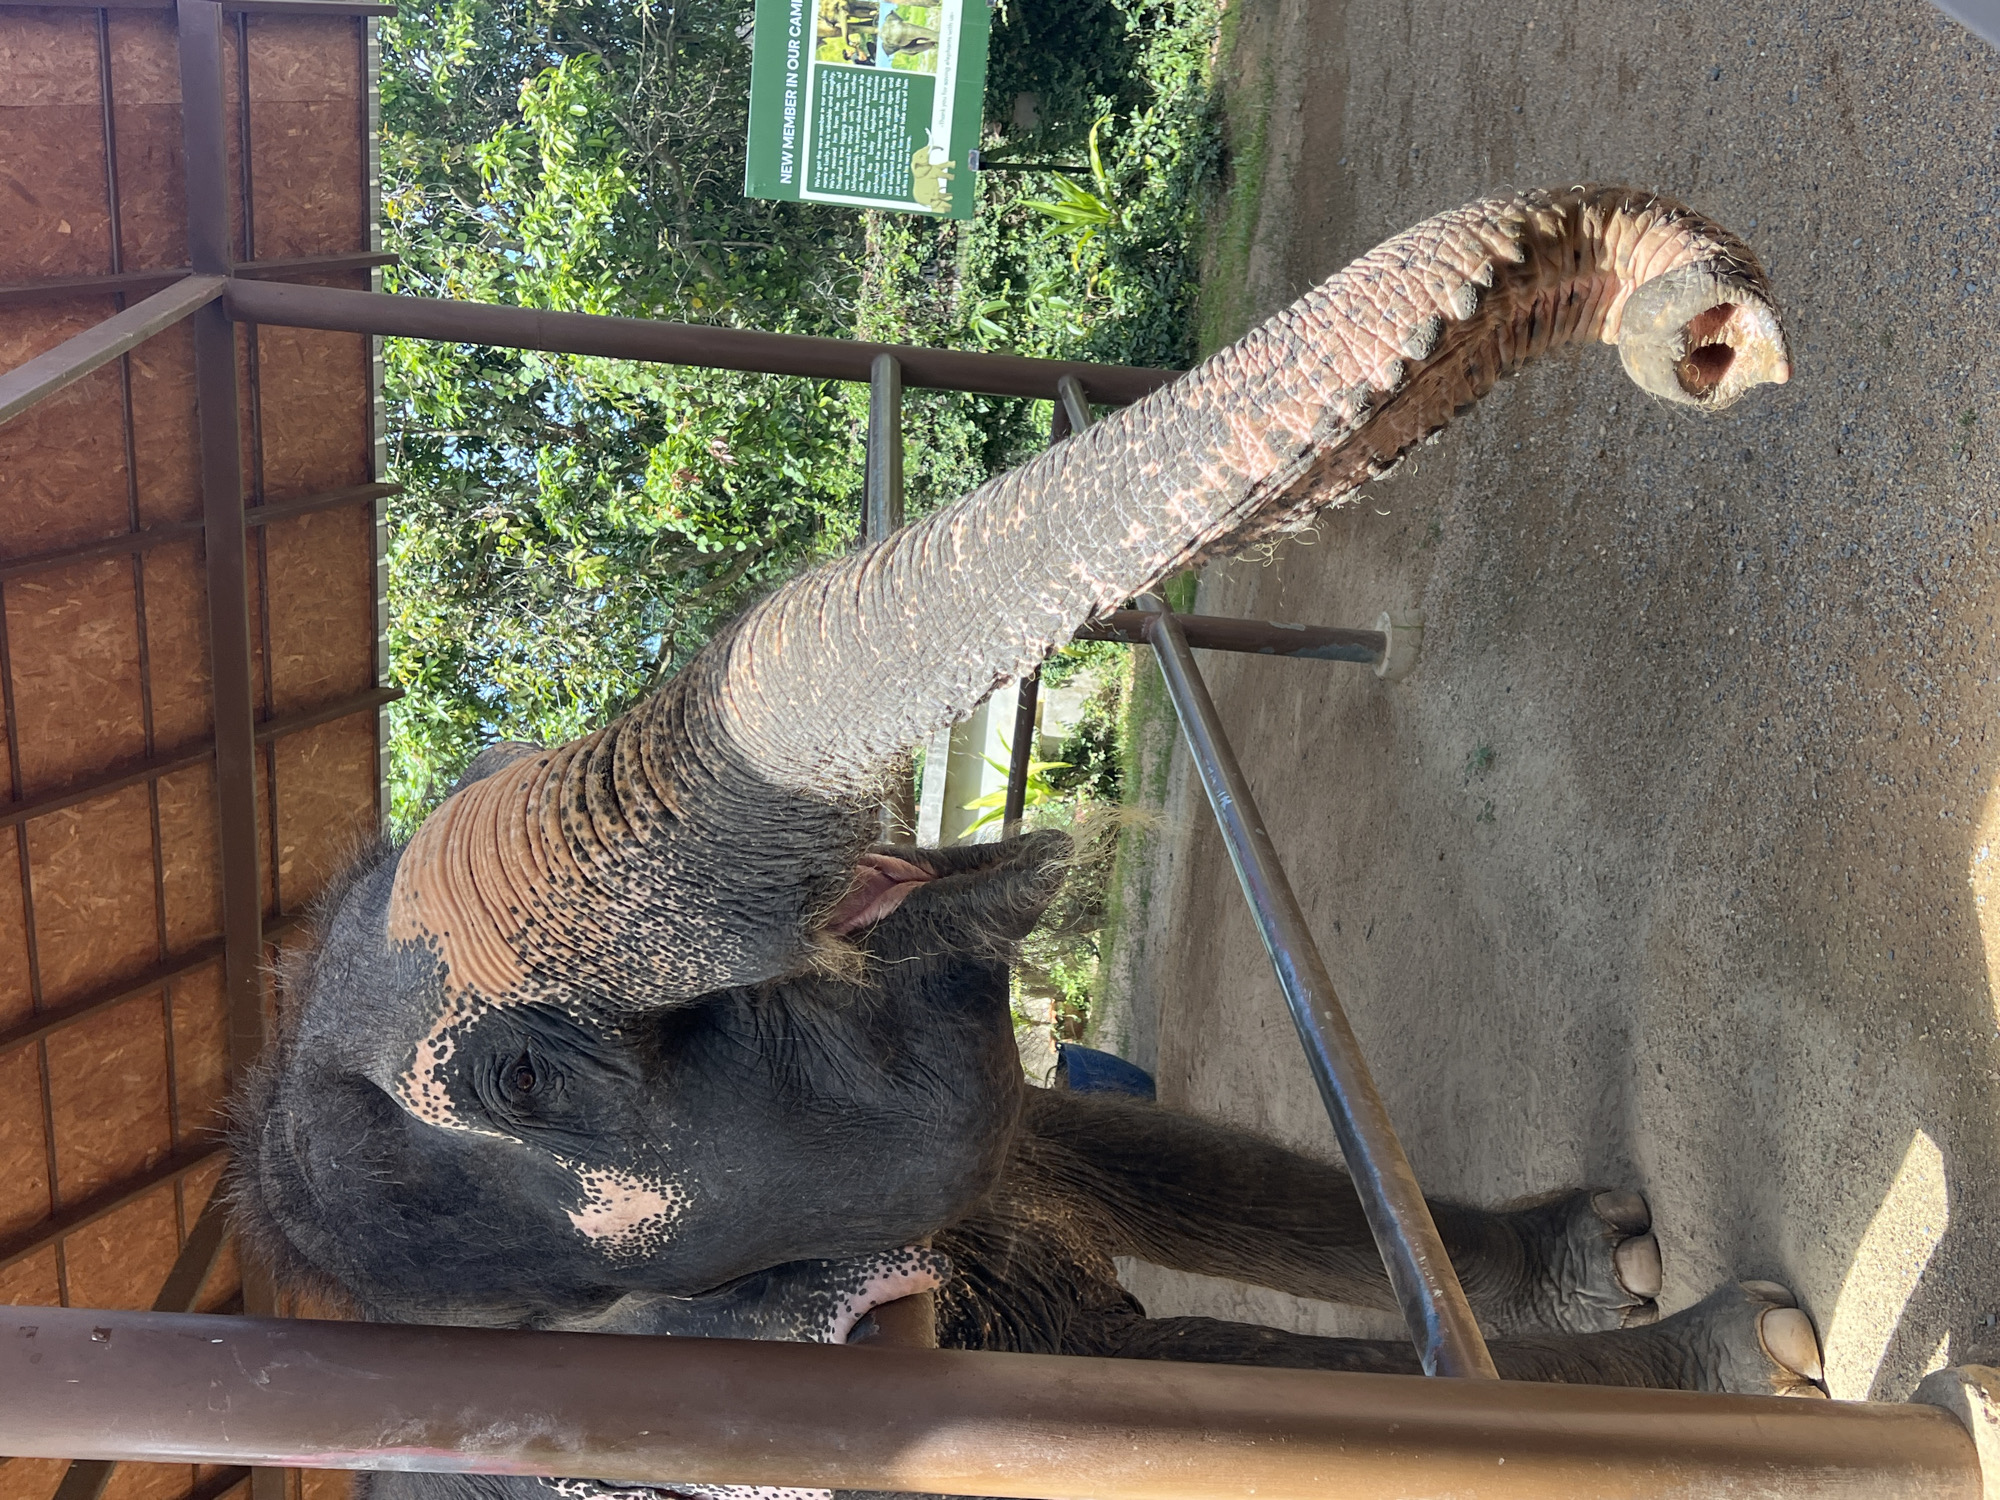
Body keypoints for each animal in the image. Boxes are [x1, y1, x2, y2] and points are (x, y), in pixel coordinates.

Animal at [227, 184, 1817, 1500]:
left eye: (489, 761)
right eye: (525, 1081)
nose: (1710, 328)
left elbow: (1146, 1155)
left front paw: (1612, 1251)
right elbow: (1216, 1395)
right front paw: (1754, 1358)